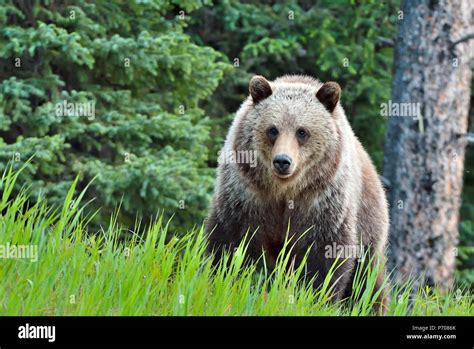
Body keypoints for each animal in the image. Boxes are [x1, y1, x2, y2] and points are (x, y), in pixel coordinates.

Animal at [206, 74, 388, 310]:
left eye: (302, 131)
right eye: (272, 129)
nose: (282, 161)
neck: (285, 191)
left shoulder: (321, 203)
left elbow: (326, 256)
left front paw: (315, 299)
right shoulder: (246, 196)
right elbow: (229, 241)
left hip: (368, 220)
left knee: (367, 279)